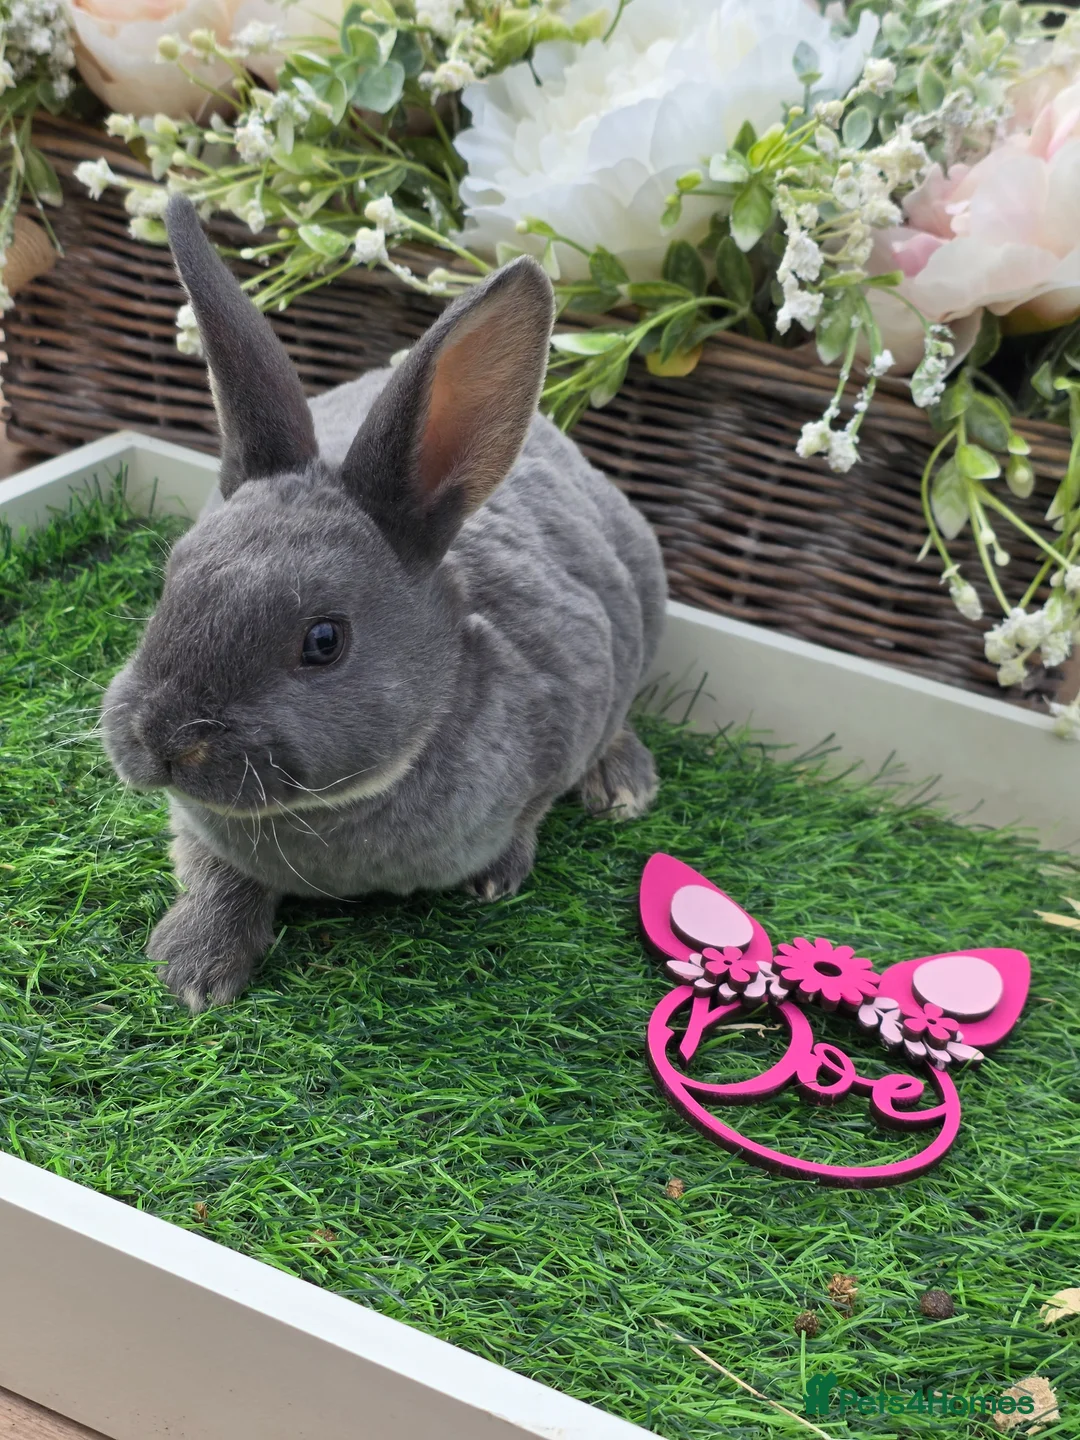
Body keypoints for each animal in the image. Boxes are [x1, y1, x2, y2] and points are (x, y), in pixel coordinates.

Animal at [100, 196, 667, 1012]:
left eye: (324, 640)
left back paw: (625, 786)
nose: (164, 742)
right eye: (171, 582)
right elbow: (215, 874)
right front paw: (192, 971)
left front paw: (497, 876)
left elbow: (534, 808)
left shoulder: (575, 690)